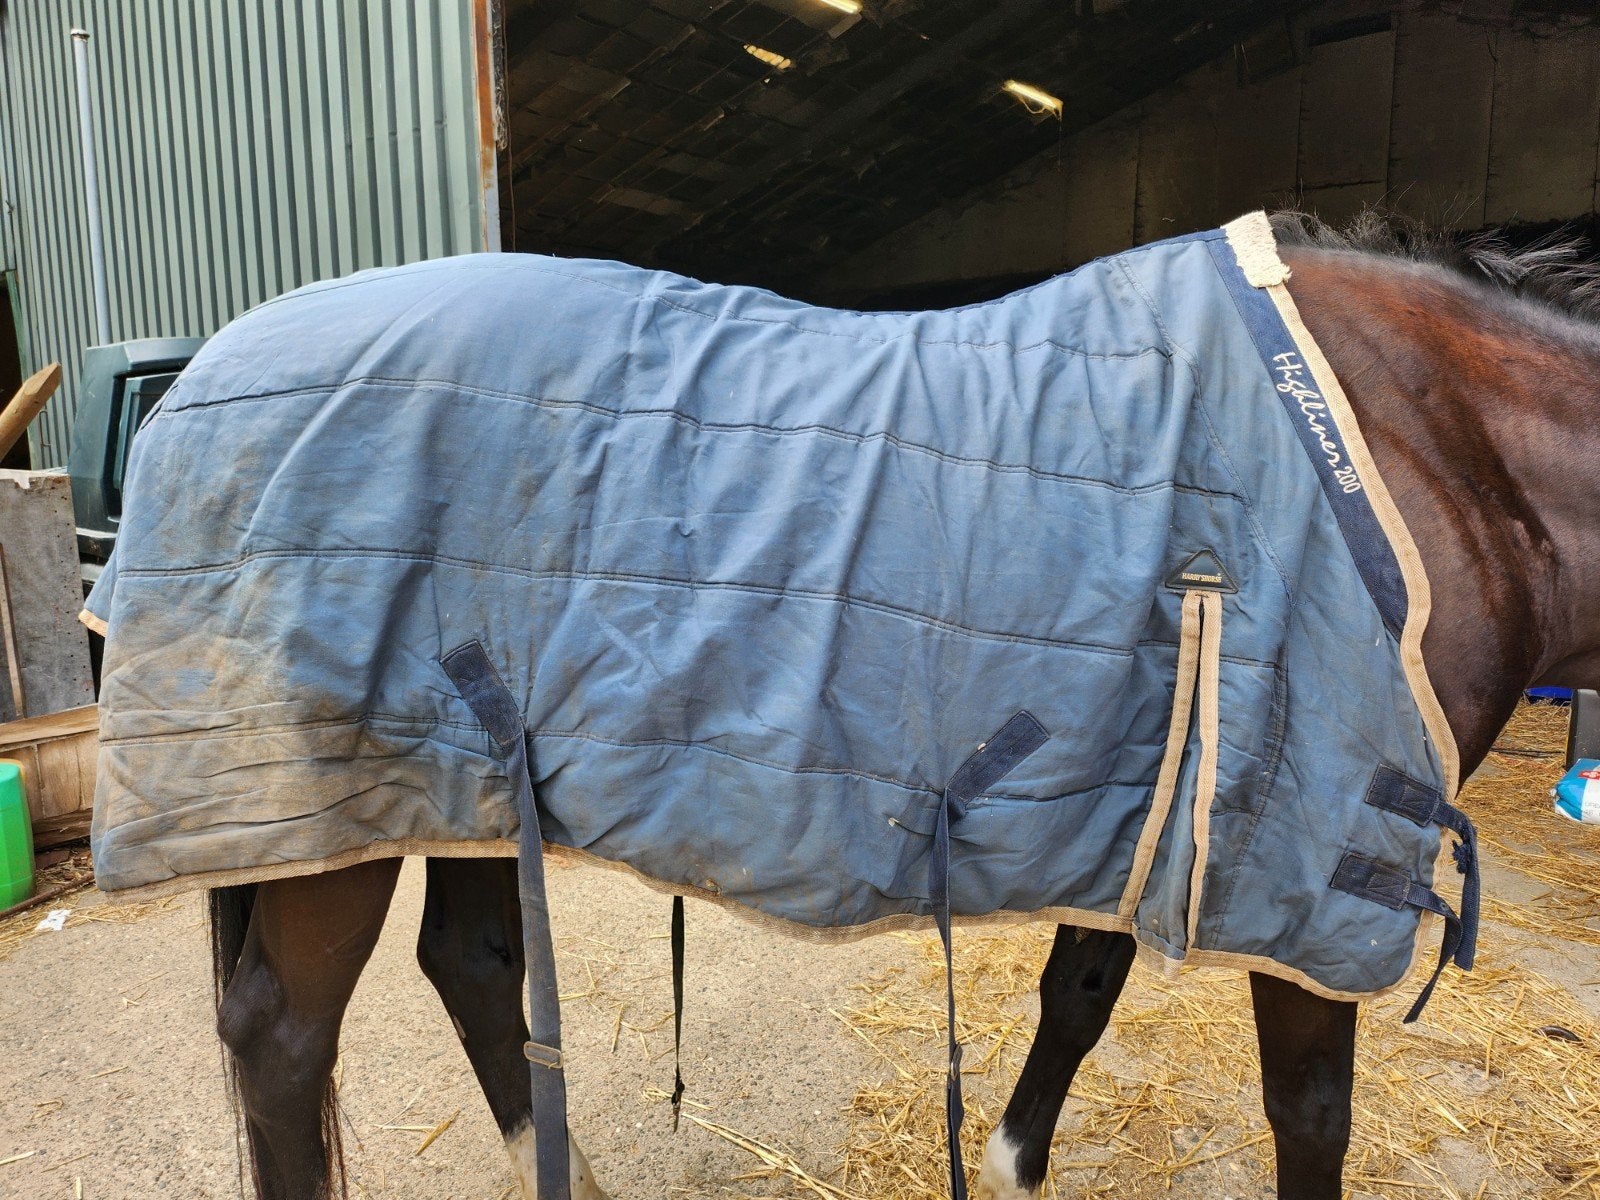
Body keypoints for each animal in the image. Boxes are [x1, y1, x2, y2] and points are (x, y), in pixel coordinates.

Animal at [169, 208, 1593, 1200]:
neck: (1431, 444)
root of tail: (213, 368)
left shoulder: (1136, 801)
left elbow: (1079, 994)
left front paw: (1012, 1167)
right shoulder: (1320, 853)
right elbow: (1310, 1111)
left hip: (457, 774)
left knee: (468, 962)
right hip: (328, 805)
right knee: (280, 1037)